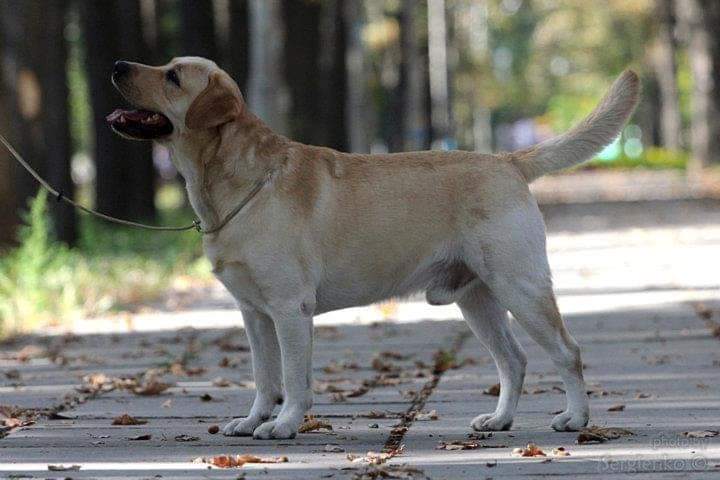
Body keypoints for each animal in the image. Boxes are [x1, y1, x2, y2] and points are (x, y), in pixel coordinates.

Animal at [109, 56, 640, 438]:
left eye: (173, 76)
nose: (116, 65)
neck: (234, 182)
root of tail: (508, 160)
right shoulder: (253, 313)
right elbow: (264, 377)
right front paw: (253, 419)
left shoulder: (289, 309)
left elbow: (294, 379)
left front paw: (284, 425)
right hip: (477, 298)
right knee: (514, 360)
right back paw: (499, 420)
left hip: (520, 286)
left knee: (567, 352)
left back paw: (576, 419)